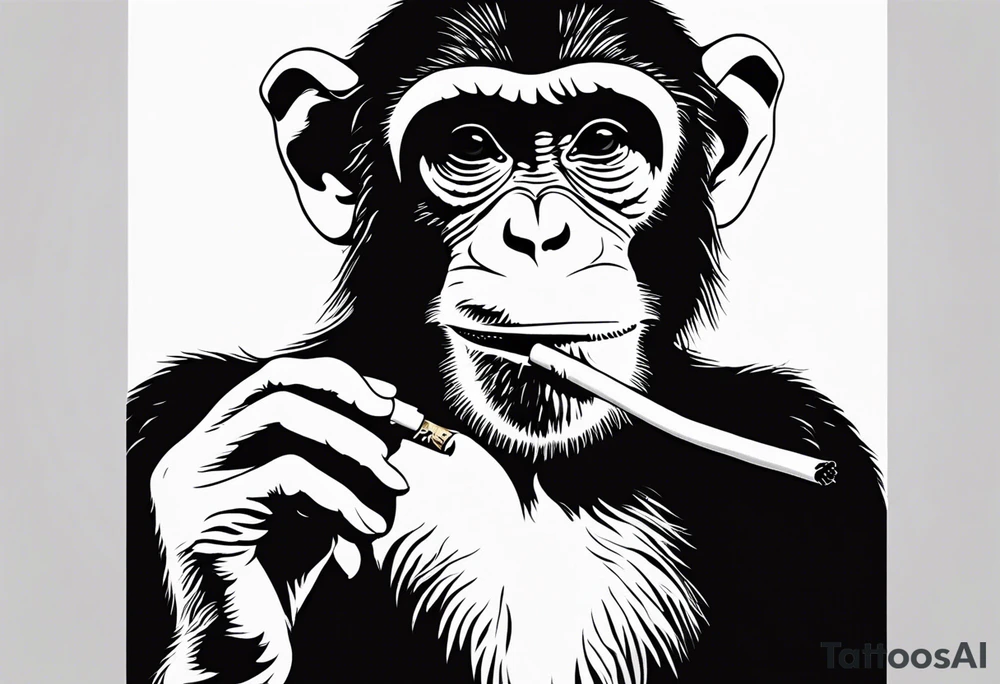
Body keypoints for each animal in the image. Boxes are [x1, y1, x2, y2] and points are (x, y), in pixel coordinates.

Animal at [127, 1, 886, 682]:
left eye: (602, 140)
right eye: (469, 145)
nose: (540, 234)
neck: (537, 476)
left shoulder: (812, 440)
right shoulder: (160, 416)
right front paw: (257, 501)